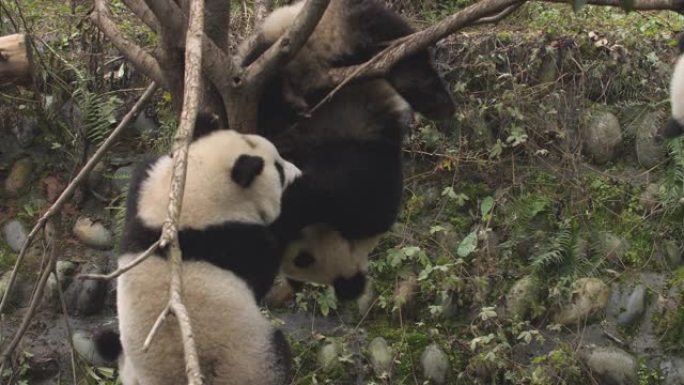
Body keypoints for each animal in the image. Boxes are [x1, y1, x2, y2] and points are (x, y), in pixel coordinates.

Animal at [95, 127, 300, 384]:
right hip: (248, 357)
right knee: (275, 353)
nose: (297, 172)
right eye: (279, 170)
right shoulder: (234, 242)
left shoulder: (141, 211)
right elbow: (263, 264)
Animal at [238, 0, 456, 300]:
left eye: (303, 258)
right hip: (283, 45)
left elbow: (332, 184)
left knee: (393, 44)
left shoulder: (364, 171)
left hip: (335, 29)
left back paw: (437, 102)